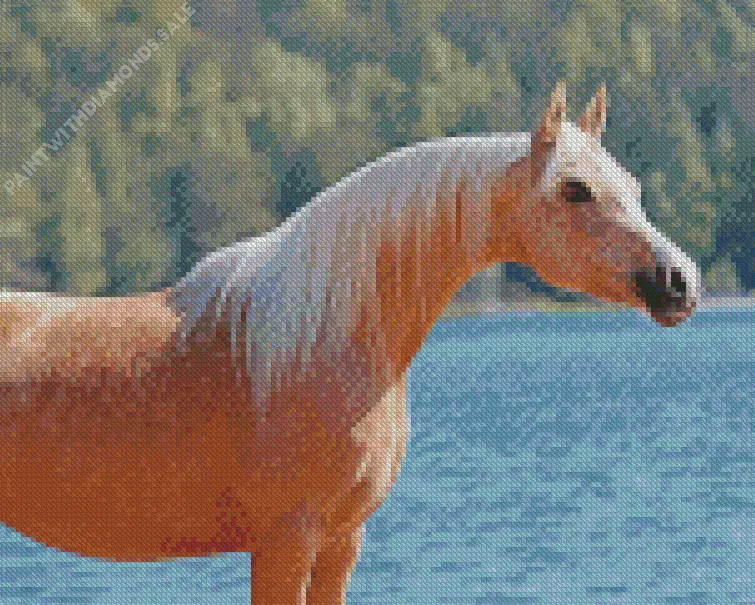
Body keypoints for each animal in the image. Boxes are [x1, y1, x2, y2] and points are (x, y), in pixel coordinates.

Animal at [0, 83, 698, 604]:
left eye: (632, 185)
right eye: (575, 188)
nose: (679, 282)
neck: (319, 339)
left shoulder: (342, 540)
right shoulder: (286, 542)